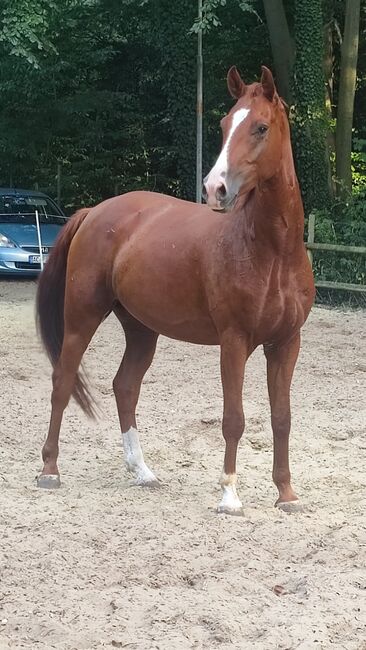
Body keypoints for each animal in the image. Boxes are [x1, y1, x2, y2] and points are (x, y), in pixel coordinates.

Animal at [37, 66, 314, 512]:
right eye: (223, 125)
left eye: (260, 127)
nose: (215, 188)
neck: (270, 251)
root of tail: (94, 211)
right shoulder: (234, 341)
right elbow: (233, 418)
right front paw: (229, 495)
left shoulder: (286, 343)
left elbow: (282, 417)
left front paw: (286, 494)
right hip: (82, 317)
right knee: (63, 381)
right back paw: (49, 470)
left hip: (141, 329)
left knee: (125, 387)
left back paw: (143, 472)